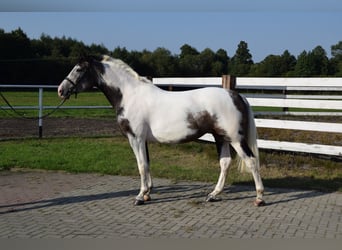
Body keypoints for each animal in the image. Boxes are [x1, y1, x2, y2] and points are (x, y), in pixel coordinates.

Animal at [57, 55, 266, 206]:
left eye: (79, 69)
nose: (61, 90)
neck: (130, 95)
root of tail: (237, 95)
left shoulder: (136, 138)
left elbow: (141, 166)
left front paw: (140, 197)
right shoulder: (142, 140)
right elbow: (147, 164)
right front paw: (147, 193)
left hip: (235, 139)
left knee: (252, 161)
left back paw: (259, 198)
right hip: (220, 137)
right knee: (225, 163)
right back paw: (213, 195)